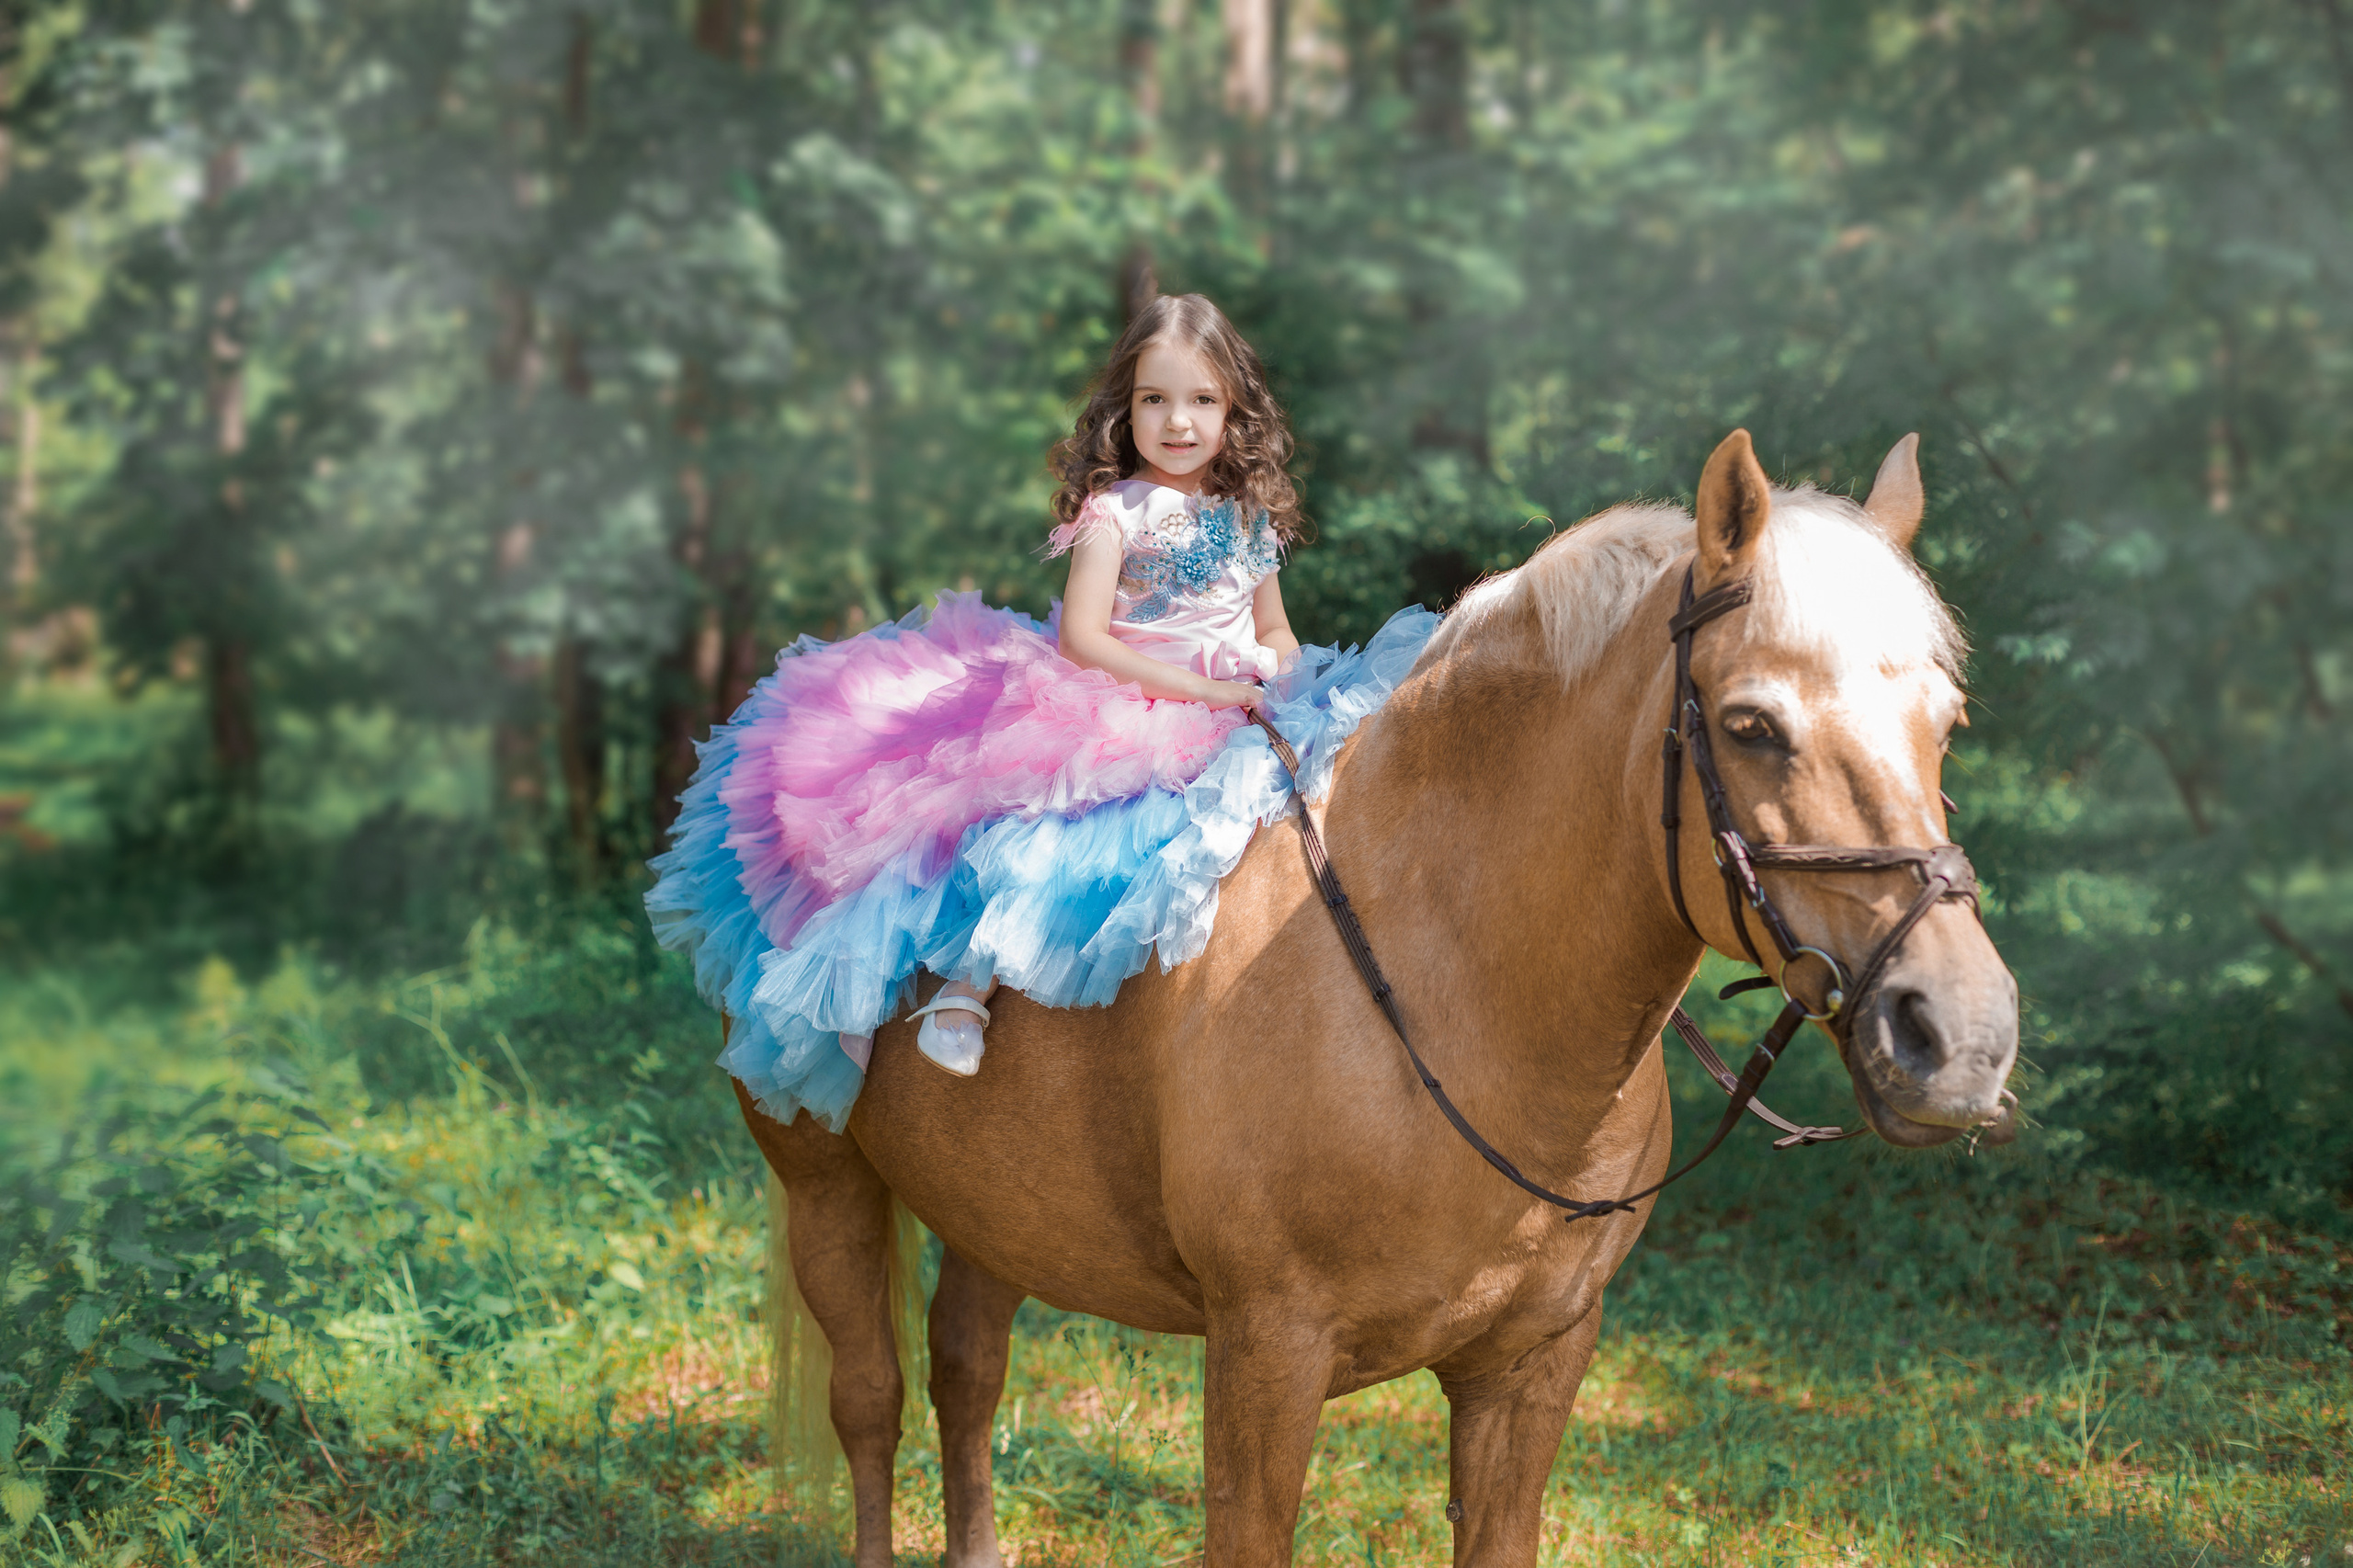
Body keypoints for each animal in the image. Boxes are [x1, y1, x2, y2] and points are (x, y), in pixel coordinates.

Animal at [732, 429, 2020, 1568]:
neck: (1451, 986)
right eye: (1751, 725)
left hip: (995, 1204)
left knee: (966, 1368)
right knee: (870, 1399)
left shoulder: (1531, 1364)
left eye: (1948, 722)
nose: (1960, 1036)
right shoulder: (1265, 1357)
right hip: (824, 1180)